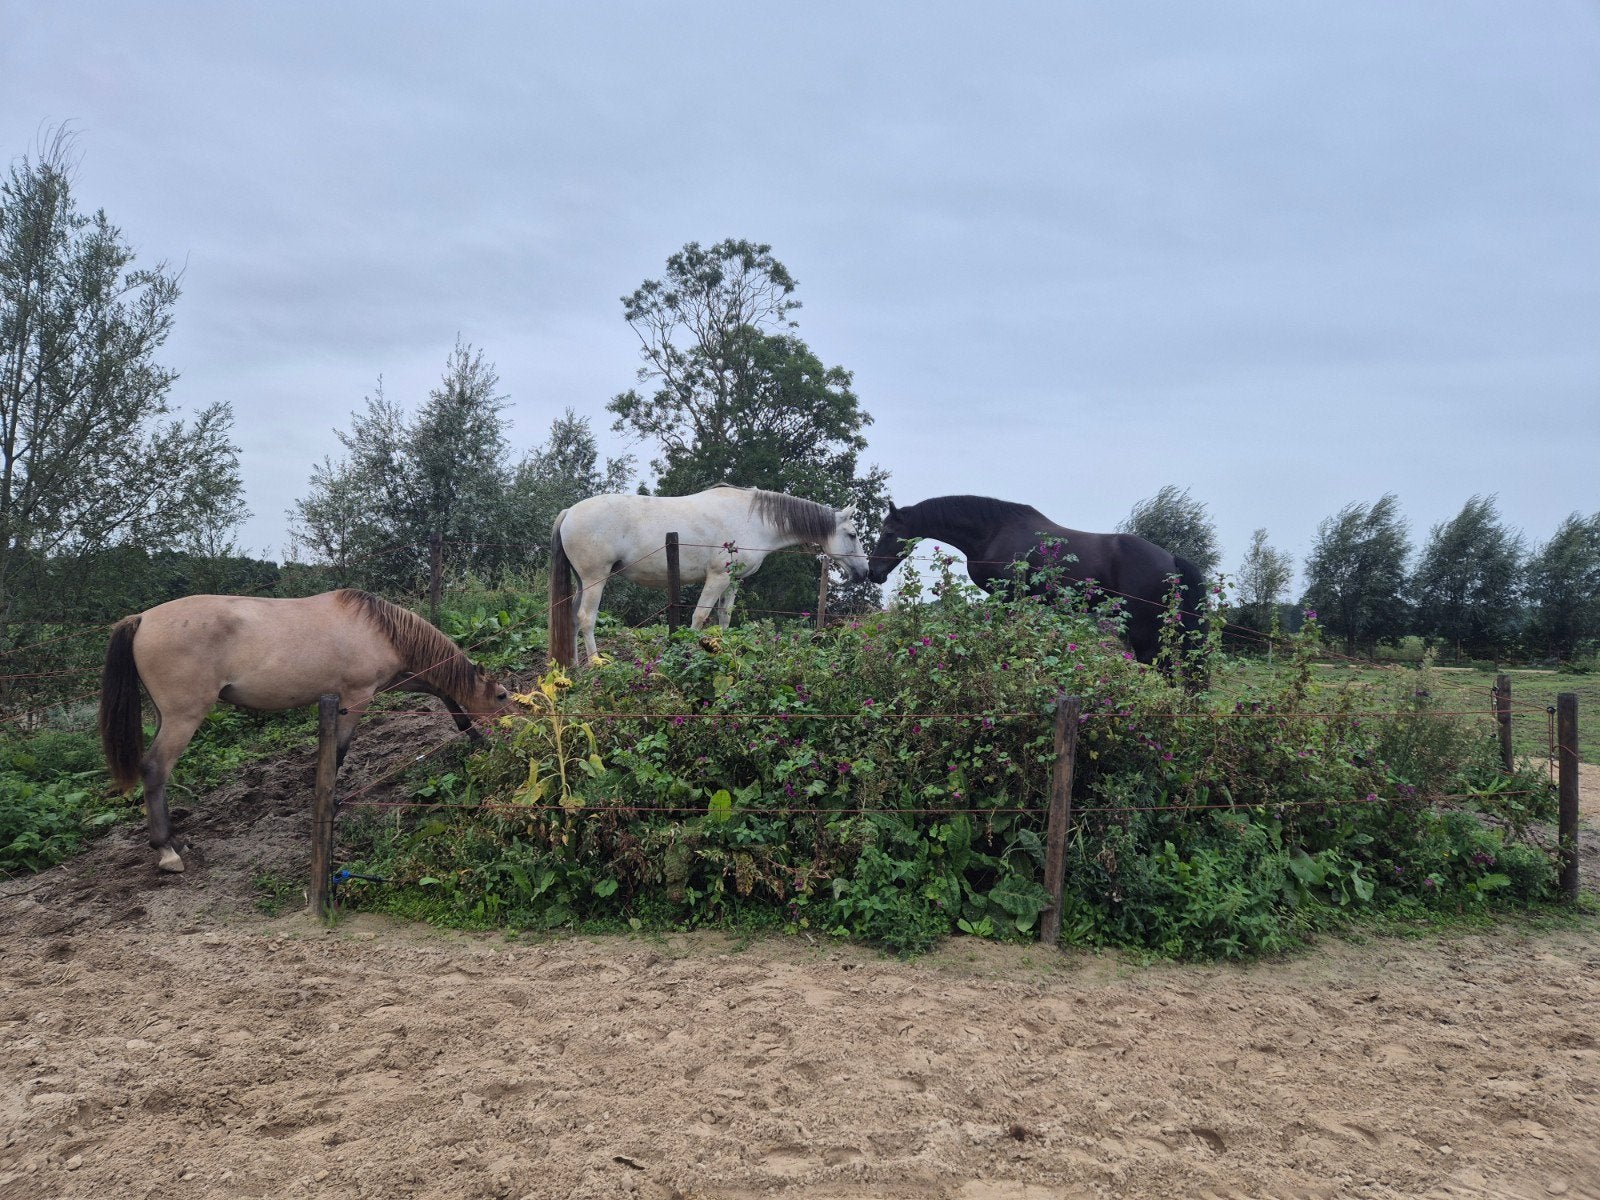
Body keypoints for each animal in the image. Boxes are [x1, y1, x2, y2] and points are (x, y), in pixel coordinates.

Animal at [99, 589, 512, 873]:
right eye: (503, 696)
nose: (512, 726)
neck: (378, 628)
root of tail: (141, 619)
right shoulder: (356, 698)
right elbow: (339, 753)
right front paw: (329, 800)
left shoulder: (394, 681)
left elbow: (444, 694)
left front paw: (474, 737)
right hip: (184, 717)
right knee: (155, 769)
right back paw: (166, 850)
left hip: (166, 716)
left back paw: (175, 842)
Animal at [548, 484, 871, 666]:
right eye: (853, 535)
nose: (864, 571)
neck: (753, 520)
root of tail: (569, 512)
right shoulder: (717, 577)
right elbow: (700, 616)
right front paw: (690, 652)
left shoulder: (733, 581)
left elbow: (724, 617)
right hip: (595, 578)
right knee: (586, 618)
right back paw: (595, 663)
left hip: (582, 581)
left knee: (572, 617)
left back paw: (573, 666)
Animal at [866, 494, 1207, 667]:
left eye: (888, 533)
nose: (873, 571)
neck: (992, 532)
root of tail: (1171, 560)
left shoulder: (1008, 598)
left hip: (1141, 628)